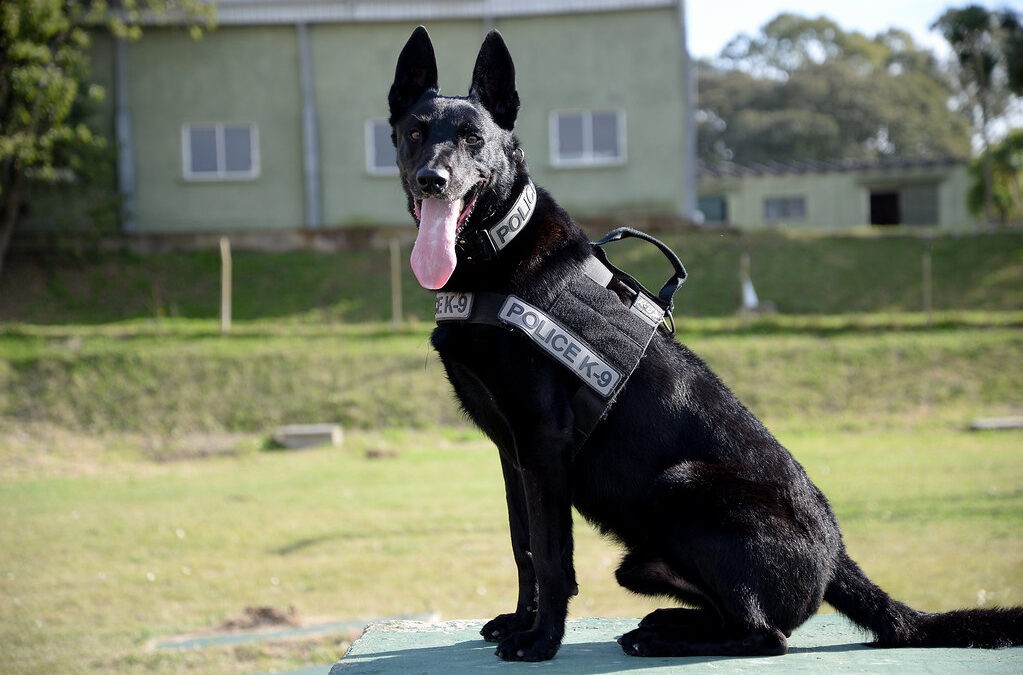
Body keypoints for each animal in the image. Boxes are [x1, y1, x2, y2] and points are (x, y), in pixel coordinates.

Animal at [386, 25, 1018, 658]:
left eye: (473, 139)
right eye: (415, 134)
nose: (432, 180)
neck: (494, 256)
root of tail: (837, 559)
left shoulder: (543, 443)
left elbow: (549, 553)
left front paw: (541, 639)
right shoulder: (512, 453)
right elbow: (523, 546)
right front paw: (521, 622)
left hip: (683, 485)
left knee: (765, 634)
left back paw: (668, 637)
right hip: (643, 558)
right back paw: (667, 626)